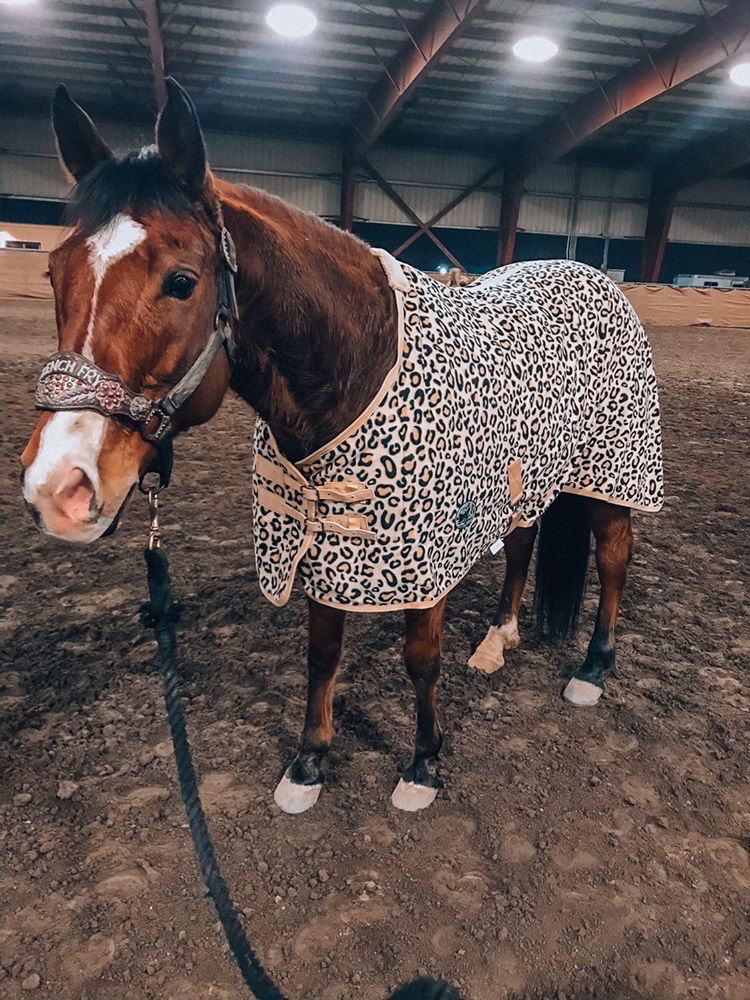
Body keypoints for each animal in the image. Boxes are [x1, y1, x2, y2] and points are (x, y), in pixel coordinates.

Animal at [20, 79, 663, 815]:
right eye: (53, 272)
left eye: (181, 281)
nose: (56, 489)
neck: (356, 364)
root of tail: (594, 275)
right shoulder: (319, 538)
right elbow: (323, 653)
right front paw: (309, 764)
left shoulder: (420, 561)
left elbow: (421, 660)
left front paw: (423, 765)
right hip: (523, 475)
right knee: (523, 541)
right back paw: (497, 641)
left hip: (611, 475)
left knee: (614, 558)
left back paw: (592, 668)